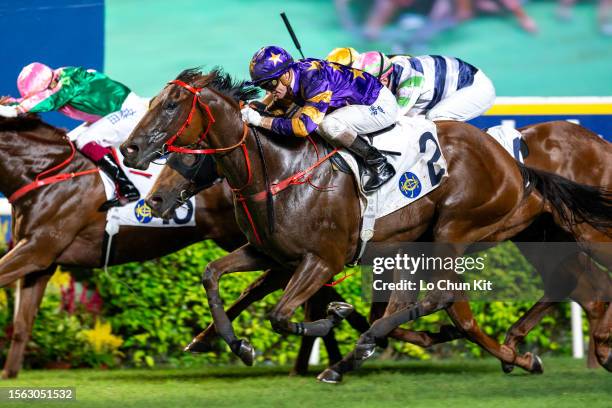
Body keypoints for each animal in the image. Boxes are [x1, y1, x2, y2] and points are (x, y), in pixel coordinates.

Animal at [0, 115, 366, 380]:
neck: (46, 172)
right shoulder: (41, 261)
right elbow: (22, 324)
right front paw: (10, 373)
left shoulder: (38, 249)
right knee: (313, 292)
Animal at [120, 68, 612, 380]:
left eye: (172, 105)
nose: (130, 150)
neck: (278, 169)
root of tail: (515, 166)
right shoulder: (272, 254)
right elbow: (216, 277)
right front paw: (223, 342)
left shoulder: (322, 259)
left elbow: (281, 314)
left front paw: (329, 323)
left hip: (454, 229)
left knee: (453, 299)